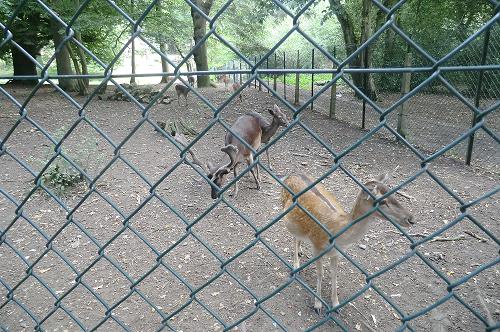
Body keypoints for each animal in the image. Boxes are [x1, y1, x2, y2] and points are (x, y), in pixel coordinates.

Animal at [282, 174, 414, 314]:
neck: (338, 234)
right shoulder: (317, 246)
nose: (411, 219)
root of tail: (291, 175)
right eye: (382, 201)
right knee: (294, 237)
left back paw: (300, 251)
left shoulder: (336, 253)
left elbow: (334, 274)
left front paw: (336, 304)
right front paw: (317, 305)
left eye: (394, 194)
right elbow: (320, 273)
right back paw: (296, 265)